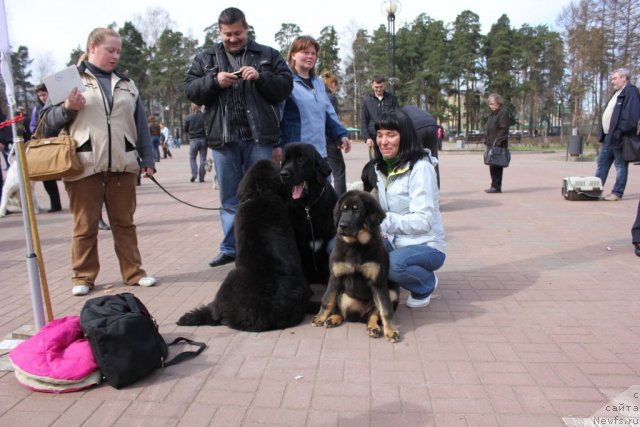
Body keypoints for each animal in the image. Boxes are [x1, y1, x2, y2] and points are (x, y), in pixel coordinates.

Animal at [312, 191, 400, 344]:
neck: (356, 245)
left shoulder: (378, 282)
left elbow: (385, 309)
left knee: (373, 315)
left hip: (392, 293)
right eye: (343, 210)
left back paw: (373, 327)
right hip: (343, 296)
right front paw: (320, 317)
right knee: (343, 313)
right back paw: (332, 319)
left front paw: (390, 331)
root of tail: (361, 314)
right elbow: (327, 300)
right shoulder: (335, 277)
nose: (342, 225)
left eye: (357, 210)